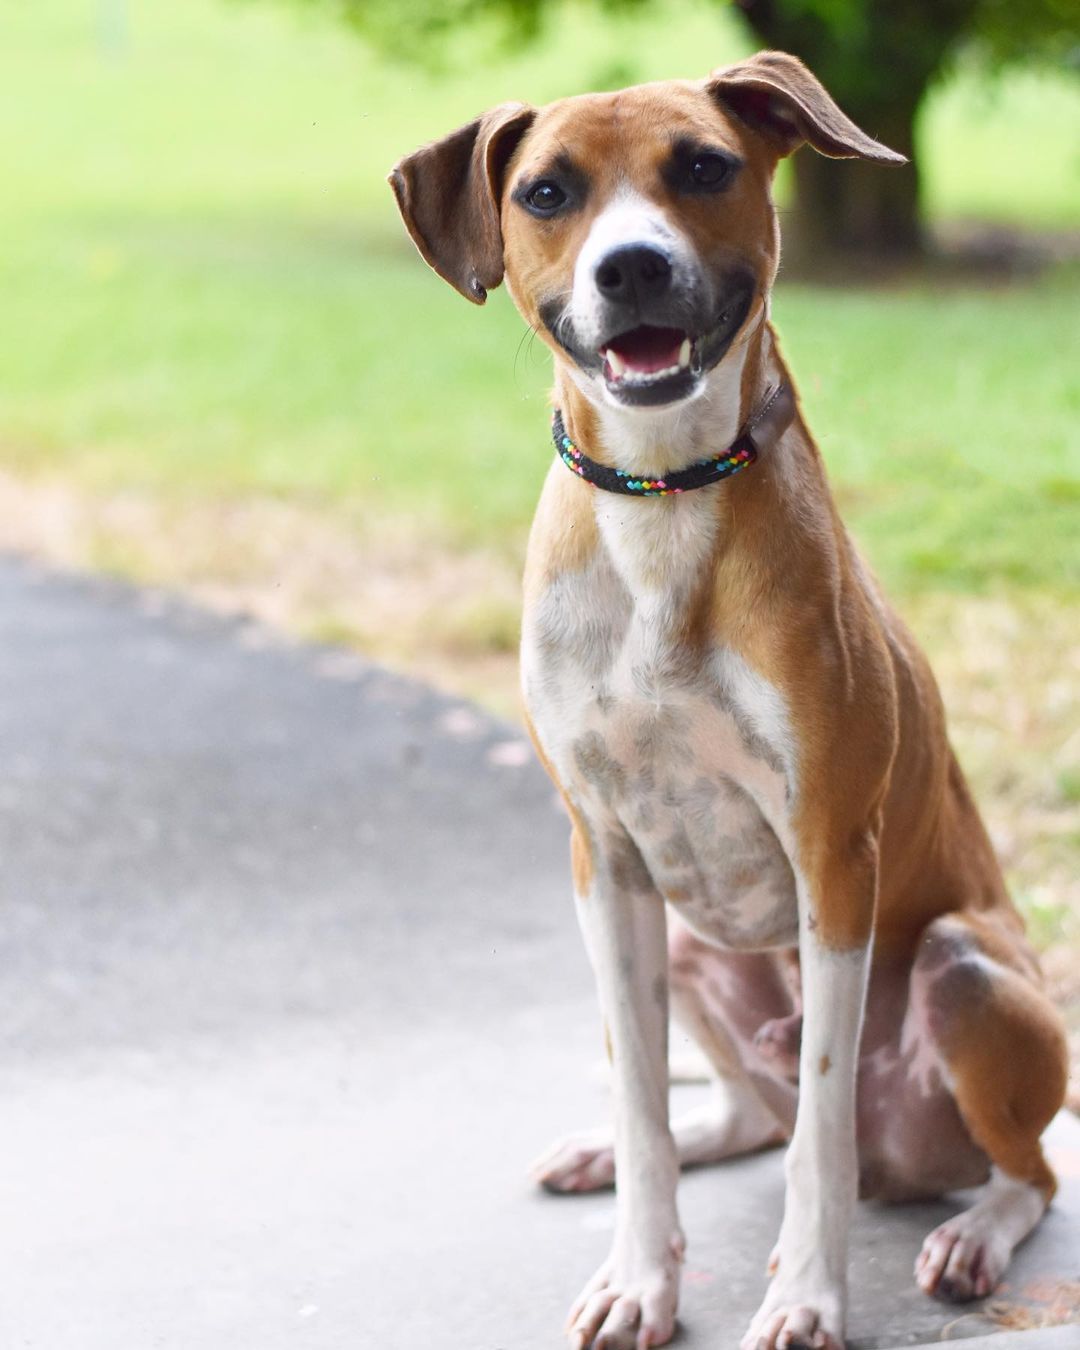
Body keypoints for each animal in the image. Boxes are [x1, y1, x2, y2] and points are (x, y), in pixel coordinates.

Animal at [391, 52, 1069, 1350]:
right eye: (547, 192)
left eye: (702, 166)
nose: (631, 266)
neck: (662, 499)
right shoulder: (605, 857)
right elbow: (648, 1101)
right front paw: (639, 1273)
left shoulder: (833, 857)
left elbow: (821, 1138)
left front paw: (806, 1293)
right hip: (688, 940)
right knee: (740, 1114)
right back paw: (617, 1150)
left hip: (963, 961)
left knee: (1024, 1171)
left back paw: (972, 1235)